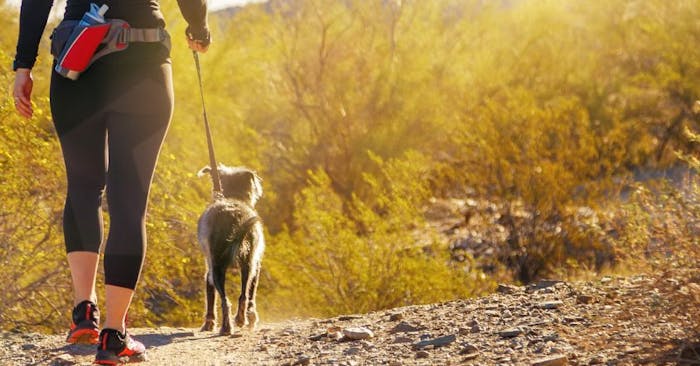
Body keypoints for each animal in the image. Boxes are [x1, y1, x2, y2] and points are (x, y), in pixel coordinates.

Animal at [196, 164, 264, 336]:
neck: (232, 196)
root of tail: (234, 217)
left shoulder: (208, 272)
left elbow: (210, 297)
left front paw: (209, 323)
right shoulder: (255, 267)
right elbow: (250, 294)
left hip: (220, 268)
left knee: (227, 299)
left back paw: (229, 326)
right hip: (247, 265)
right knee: (242, 296)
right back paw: (238, 321)